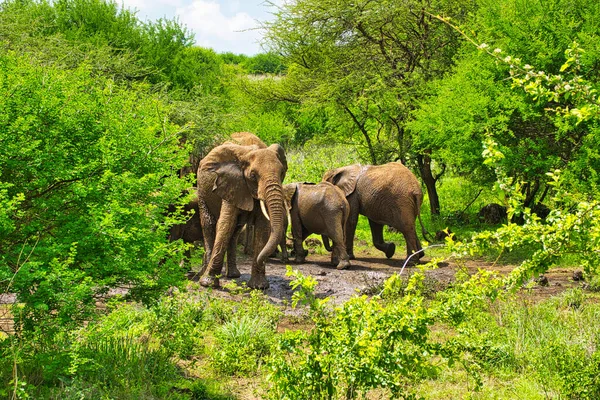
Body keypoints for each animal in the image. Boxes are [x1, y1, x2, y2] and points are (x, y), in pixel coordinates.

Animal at [197, 133, 288, 290]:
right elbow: (225, 223)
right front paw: (207, 284)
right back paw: (205, 273)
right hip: (201, 192)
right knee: (209, 226)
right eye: (253, 176)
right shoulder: (231, 183)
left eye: (282, 173)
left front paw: (259, 287)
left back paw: (233, 275)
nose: (272, 257)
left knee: (235, 232)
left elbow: (263, 226)